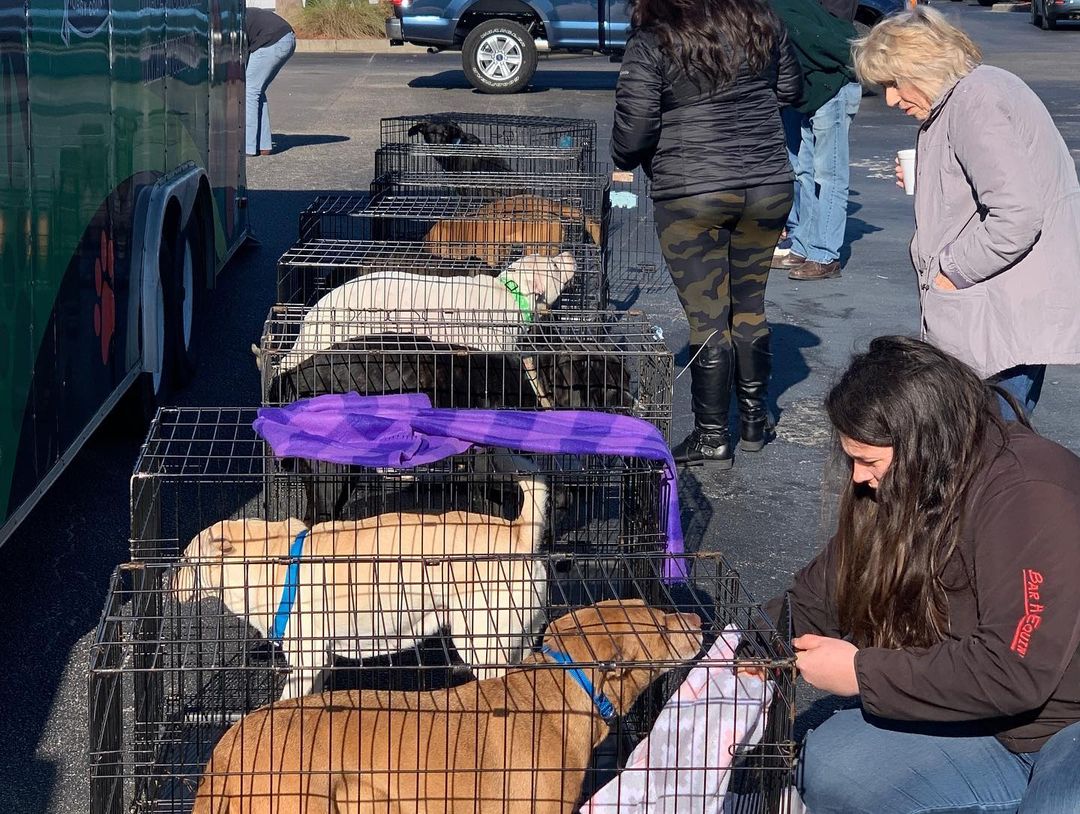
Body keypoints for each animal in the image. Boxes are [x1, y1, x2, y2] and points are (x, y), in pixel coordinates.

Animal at [168, 475, 548, 699]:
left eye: (185, 561)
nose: (168, 585)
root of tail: (519, 532)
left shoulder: (306, 660)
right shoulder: (319, 662)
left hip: (482, 642)